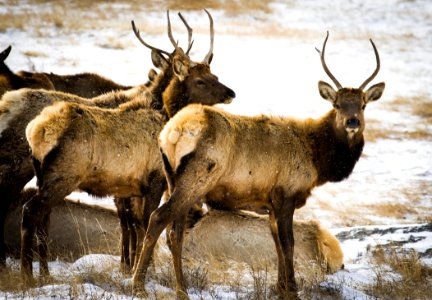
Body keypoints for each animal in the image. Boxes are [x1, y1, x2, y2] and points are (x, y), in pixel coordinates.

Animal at [21, 10, 233, 284]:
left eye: (214, 76)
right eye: (200, 81)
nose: (230, 92)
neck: (164, 114)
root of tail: (36, 130)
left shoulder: (132, 187)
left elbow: (134, 224)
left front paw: (133, 268)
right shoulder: (154, 179)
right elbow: (144, 223)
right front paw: (140, 271)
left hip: (44, 177)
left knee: (42, 218)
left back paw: (44, 274)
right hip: (63, 175)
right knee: (30, 211)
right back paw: (28, 276)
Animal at [132, 32, 384, 298]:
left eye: (363, 104)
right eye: (337, 104)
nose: (352, 122)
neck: (317, 159)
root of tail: (172, 132)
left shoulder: (270, 203)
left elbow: (277, 245)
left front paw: (280, 287)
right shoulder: (286, 194)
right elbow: (288, 244)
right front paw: (292, 290)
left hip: (173, 179)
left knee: (175, 232)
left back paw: (181, 288)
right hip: (196, 179)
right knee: (158, 218)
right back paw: (139, 285)